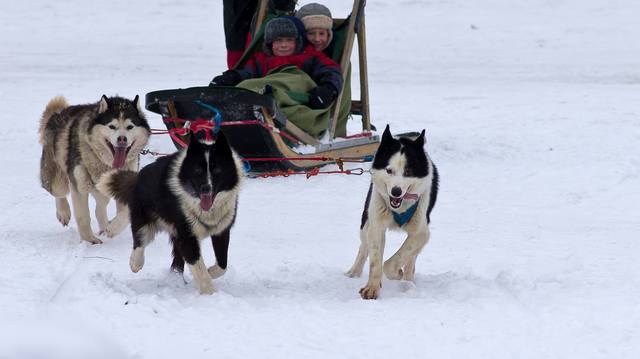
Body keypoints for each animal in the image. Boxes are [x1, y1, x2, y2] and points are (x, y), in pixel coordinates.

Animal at [39, 95, 151, 245]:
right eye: (112, 126)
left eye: (130, 127)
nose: (122, 139)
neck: (105, 164)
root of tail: (58, 113)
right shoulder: (79, 186)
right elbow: (83, 216)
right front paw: (89, 239)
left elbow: (125, 213)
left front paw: (113, 228)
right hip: (57, 179)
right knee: (59, 193)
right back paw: (64, 212)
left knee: (100, 207)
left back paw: (105, 225)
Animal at [97, 126, 242, 296]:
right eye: (197, 170)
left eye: (217, 170)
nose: (205, 188)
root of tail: (140, 175)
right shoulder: (187, 236)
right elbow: (199, 267)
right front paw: (210, 293)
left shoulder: (221, 231)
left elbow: (222, 264)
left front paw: (211, 272)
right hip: (145, 217)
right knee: (140, 239)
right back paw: (135, 262)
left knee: (177, 260)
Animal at [344, 126, 440, 300]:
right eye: (389, 170)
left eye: (408, 171)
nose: (396, 191)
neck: (399, 208)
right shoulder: (376, 226)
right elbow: (375, 260)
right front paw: (372, 288)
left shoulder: (421, 232)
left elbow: (397, 259)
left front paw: (397, 273)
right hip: (366, 222)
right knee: (364, 246)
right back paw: (353, 272)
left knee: (412, 257)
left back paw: (408, 280)